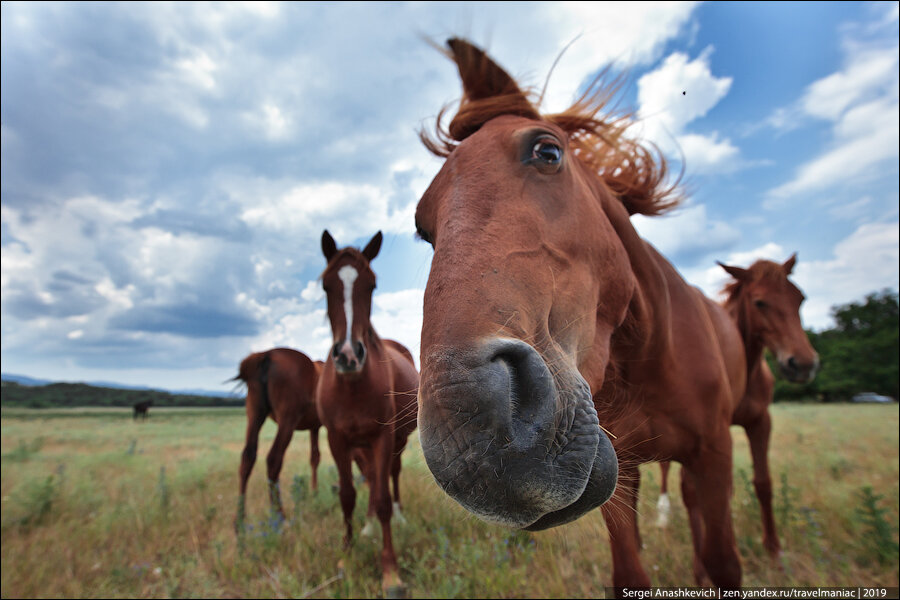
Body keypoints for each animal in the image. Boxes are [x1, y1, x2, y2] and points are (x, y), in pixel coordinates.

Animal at [232, 346, 324, 528]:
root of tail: (266, 356)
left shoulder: (314, 427)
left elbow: (314, 458)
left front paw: (315, 493)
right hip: (287, 420)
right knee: (273, 459)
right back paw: (279, 516)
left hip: (254, 414)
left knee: (247, 457)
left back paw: (240, 520)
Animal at [314, 229, 420, 596]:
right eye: (326, 285)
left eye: (371, 285)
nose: (348, 355)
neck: (353, 385)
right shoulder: (337, 439)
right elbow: (348, 496)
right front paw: (347, 555)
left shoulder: (383, 437)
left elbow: (385, 497)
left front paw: (390, 572)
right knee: (373, 479)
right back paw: (369, 526)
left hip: (398, 440)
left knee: (391, 477)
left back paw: (399, 518)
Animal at [414, 38, 744, 592]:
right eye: (424, 227)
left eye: (547, 152)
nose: (469, 436)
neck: (647, 357)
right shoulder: (624, 472)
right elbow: (630, 571)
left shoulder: (714, 454)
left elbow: (725, 563)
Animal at [656, 254, 820, 564]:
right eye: (760, 302)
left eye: (800, 299)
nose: (803, 364)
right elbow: (693, 491)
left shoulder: (760, 422)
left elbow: (762, 483)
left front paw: (773, 548)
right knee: (667, 471)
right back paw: (663, 515)